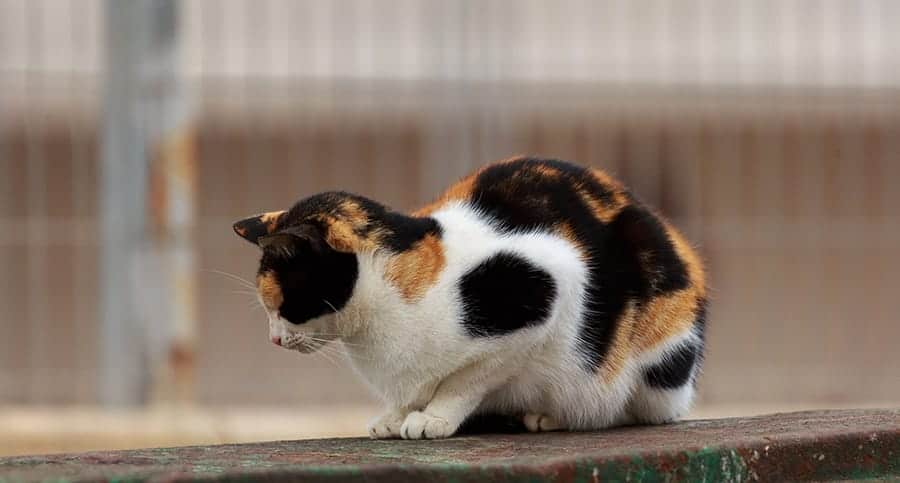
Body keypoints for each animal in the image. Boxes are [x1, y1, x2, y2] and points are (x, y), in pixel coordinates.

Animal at [234, 157, 712, 440]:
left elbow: (466, 380)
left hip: (656, 363)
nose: (274, 339)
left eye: (283, 306)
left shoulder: (543, 290)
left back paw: (554, 417)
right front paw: (396, 414)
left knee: (637, 410)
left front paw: (433, 417)